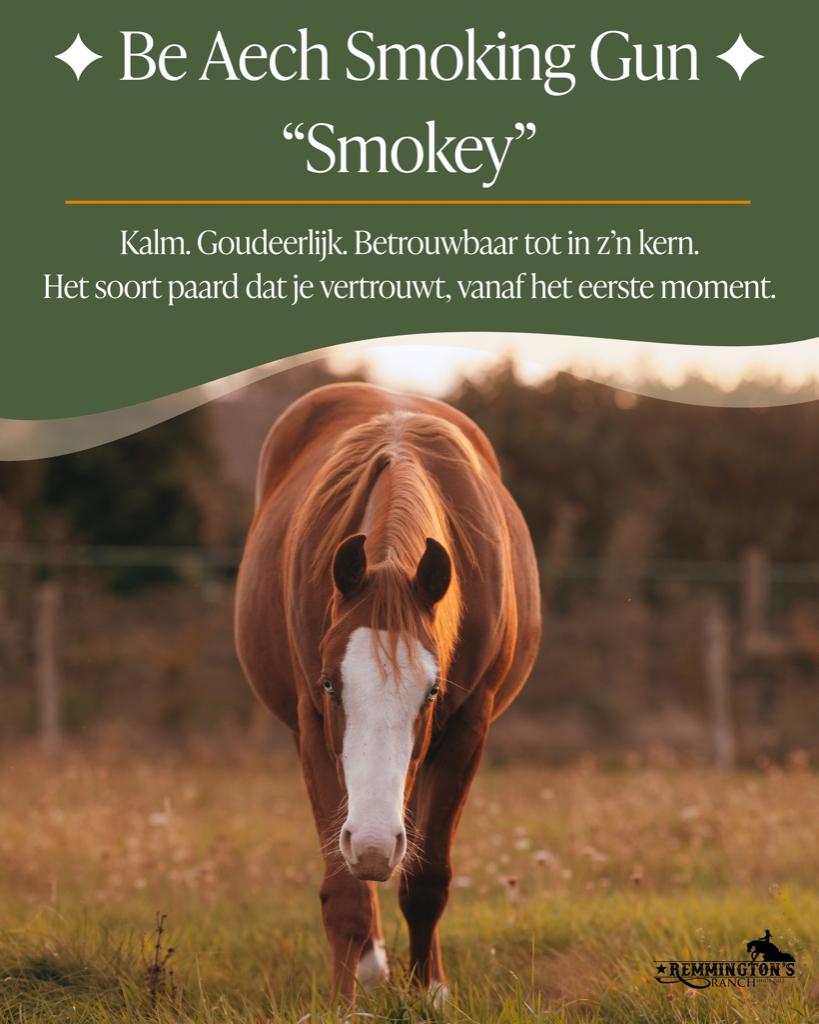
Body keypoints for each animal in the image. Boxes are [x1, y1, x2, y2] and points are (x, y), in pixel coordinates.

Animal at [235, 382, 541, 1003]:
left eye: (432, 692)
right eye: (330, 683)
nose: (375, 844)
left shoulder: (468, 726)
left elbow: (426, 880)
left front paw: (430, 993)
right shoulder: (314, 726)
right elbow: (346, 891)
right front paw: (343, 1002)